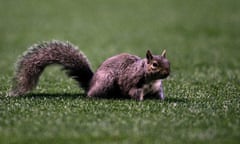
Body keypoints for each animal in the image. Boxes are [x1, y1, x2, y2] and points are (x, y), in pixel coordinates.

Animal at [9, 39, 171, 100]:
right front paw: (141, 101)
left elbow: (159, 95)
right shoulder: (133, 83)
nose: (167, 73)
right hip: (106, 82)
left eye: (168, 62)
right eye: (154, 64)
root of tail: (91, 83)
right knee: (91, 94)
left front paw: (161, 101)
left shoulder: (157, 87)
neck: (151, 80)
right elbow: (134, 93)